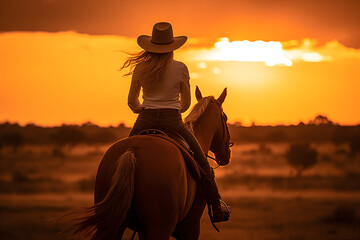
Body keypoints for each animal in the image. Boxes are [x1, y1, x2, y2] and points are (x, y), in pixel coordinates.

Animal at [74, 86, 232, 240]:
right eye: (225, 118)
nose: (227, 154)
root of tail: (131, 150)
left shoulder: (142, 231)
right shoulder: (190, 227)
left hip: (111, 227)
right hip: (159, 228)